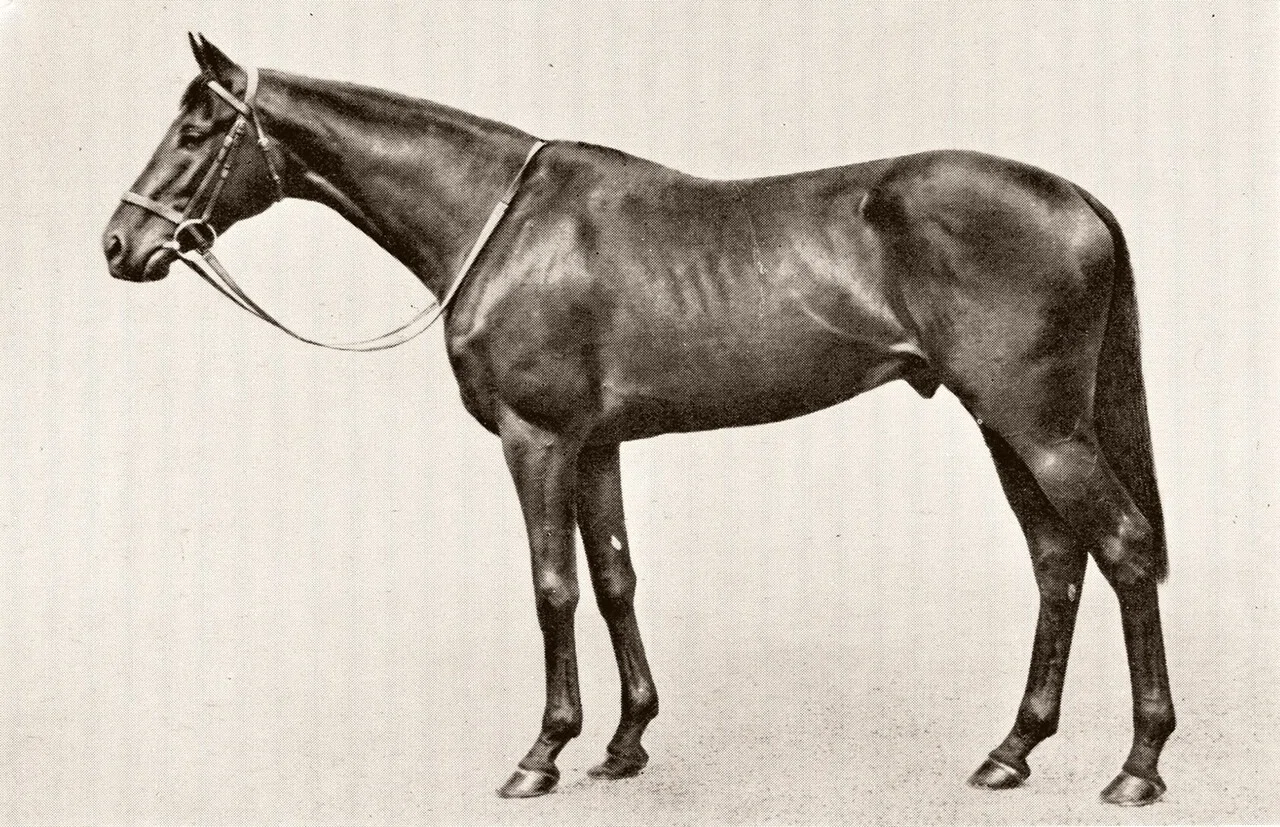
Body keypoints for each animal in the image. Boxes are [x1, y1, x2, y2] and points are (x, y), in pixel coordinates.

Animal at [103, 35, 1174, 805]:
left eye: (197, 130)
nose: (119, 243)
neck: (504, 223)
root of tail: (1076, 199)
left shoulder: (536, 439)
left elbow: (553, 587)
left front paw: (540, 753)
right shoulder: (597, 445)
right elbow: (616, 578)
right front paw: (625, 742)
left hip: (1041, 426)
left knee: (1123, 548)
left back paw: (1138, 766)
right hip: (1006, 427)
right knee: (1057, 561)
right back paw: (1012, 749)